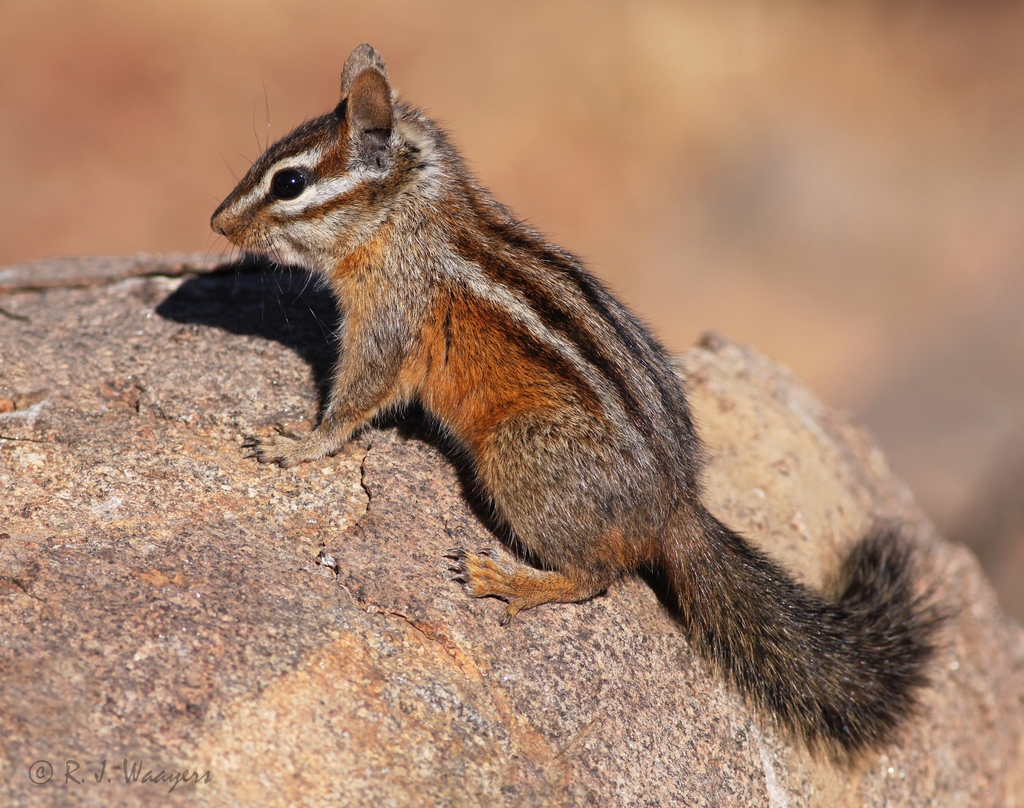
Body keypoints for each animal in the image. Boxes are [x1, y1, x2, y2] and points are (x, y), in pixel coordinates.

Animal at [211, 43, 941, 757]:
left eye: (289, 183)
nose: (216, 224)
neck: (406, 213)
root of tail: (674, 509)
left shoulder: (390, 317)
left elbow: (355, 398)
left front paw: (294, 443)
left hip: (520, 455)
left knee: (598, 577)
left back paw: (511, 579)